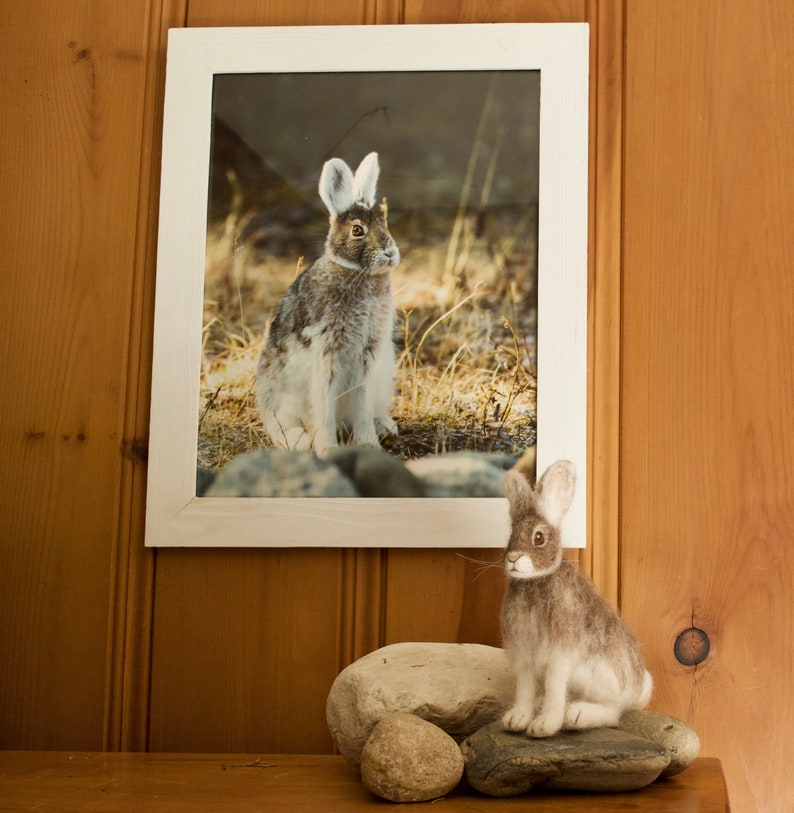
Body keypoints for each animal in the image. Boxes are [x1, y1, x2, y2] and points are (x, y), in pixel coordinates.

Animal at [256, 152, 400, 455]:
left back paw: (384, 427)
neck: (356, 272)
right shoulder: (327, 351)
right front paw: (328, 450)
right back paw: (299, 440)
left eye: (384, 223)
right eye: (357, 230)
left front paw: (368, 444)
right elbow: (324, 406)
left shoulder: (367, 358)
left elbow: (362, 403)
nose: (390, 253)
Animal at [500, 460, 653, 738]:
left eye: (539, 537)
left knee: (613, 711)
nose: (513, 558)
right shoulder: (525, 657)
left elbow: (554, 687)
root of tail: (639, 687)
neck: (535, 584)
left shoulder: (559, 656)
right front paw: (516, 720)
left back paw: (576, 714)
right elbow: (524, 689)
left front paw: (544, 726)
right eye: (511, 534)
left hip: (600, 676)